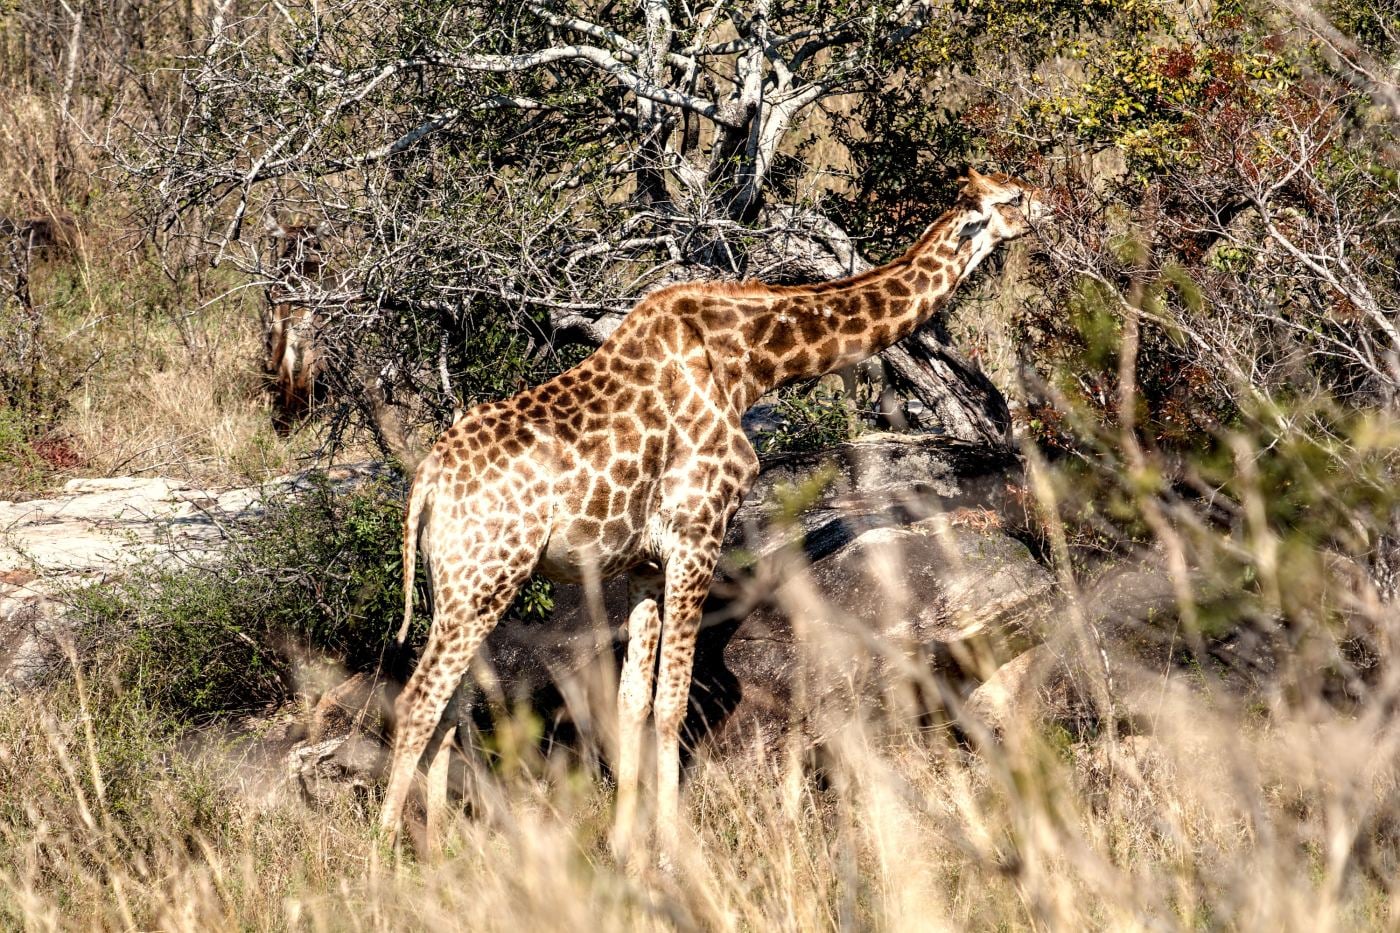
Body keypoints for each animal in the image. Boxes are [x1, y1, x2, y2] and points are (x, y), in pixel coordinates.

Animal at [380, 168, 1050, 859]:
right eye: (1012, 198)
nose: (1049, 205)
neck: (749, 362)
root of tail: (426, 483)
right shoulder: (698, 535)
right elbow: (673, 702)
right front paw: (670, 849)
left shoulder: (645, 564)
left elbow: (633, 701)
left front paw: (624, 846)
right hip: (486, 576)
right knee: (419, 700)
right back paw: (384, 854)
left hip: (466, 583)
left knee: (450, 706)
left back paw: (442, 845)